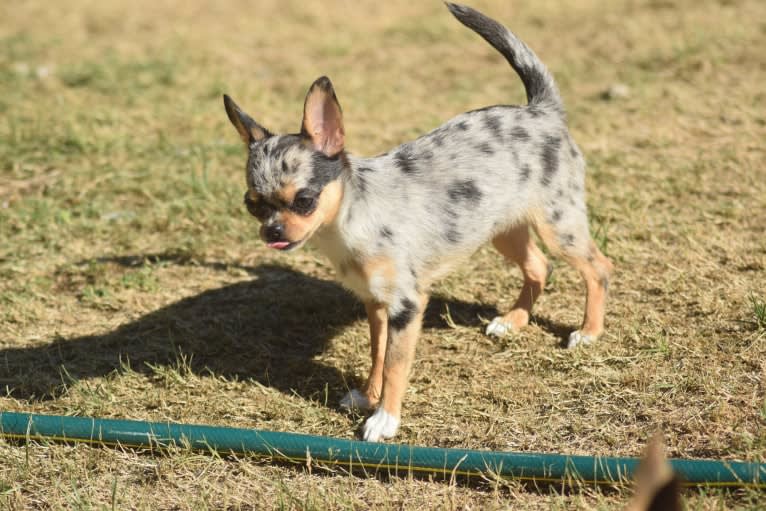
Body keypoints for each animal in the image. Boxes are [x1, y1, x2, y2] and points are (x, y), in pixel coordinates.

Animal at [222, 3, 612, 444]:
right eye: (252, 205)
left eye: (304, 201)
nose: (272, 231)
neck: (351, 221)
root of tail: (539, 110)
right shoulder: (376, 304)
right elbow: (377, 354)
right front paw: (367, 395)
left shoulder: (406, 307)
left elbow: (395, 364)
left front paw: (384, 418)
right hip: (502, 230)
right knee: (539, 266)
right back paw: (513, 321)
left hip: (558, 226)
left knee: (598, 268)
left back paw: (589, 331)